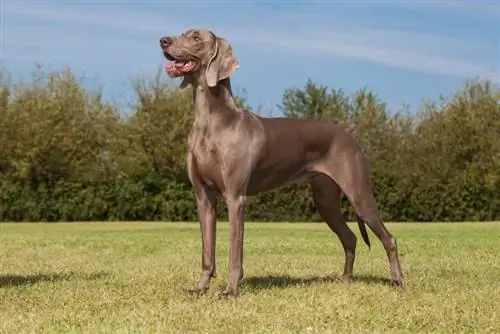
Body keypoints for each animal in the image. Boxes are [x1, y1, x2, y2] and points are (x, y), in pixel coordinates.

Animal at [160, 28, 406, 294]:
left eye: (195, 37)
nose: (163, 41)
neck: (211, 121)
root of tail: (351, 137)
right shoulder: (203, 196)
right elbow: (207, 251)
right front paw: (200, 288)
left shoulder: (235, 197)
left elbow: (235, 251)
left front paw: (231, 290)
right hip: (326, 199)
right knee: (349, 237)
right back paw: (346, 279)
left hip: (358, 193)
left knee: (389, 238)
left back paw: (399, 282)